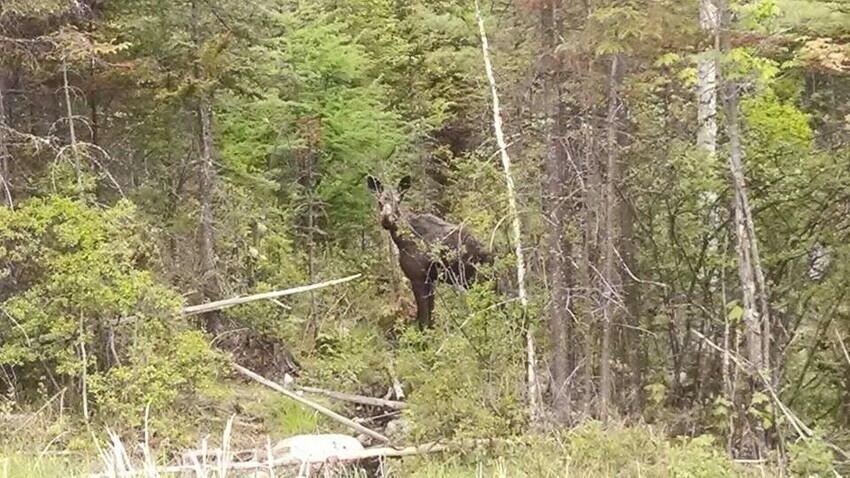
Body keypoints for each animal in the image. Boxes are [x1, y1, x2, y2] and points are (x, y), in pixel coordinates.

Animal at [364, 175, 490, 328]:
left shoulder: (418, 278)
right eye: (379, 201)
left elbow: (423, 320)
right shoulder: (430, 280)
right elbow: (431, 318)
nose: (387, 219)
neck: (402, 241)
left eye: (398, 201)